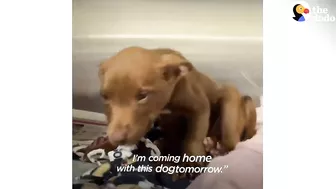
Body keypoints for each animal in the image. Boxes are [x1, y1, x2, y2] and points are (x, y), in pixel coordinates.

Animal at [98, 46, 256, 166]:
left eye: (143, 95)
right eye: (105, 97)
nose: (117, 138)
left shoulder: (200, 108)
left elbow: (193, 137)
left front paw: (194, 160)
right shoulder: (165, 121)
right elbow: (172, 139)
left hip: (231, 103)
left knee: (234, 140)